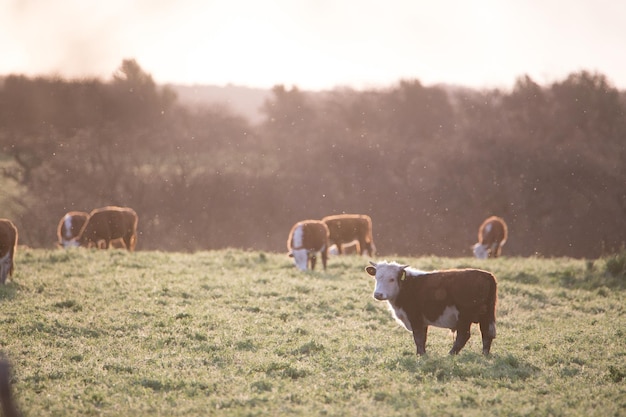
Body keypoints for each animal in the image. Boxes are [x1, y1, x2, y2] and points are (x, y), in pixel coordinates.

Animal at [364, 260, 494, 354]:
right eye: (376, 277)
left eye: (392, 279)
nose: (378, 294)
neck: (408, 285)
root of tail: (486, 275)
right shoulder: (422, 322)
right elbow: (423, 338)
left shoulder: (415, 318)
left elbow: (418, 338)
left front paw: (420, 355)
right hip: (486, 316)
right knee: (487, 334)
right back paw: (484, 355)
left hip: (464, 317)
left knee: (463, 335)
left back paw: (450, 354)